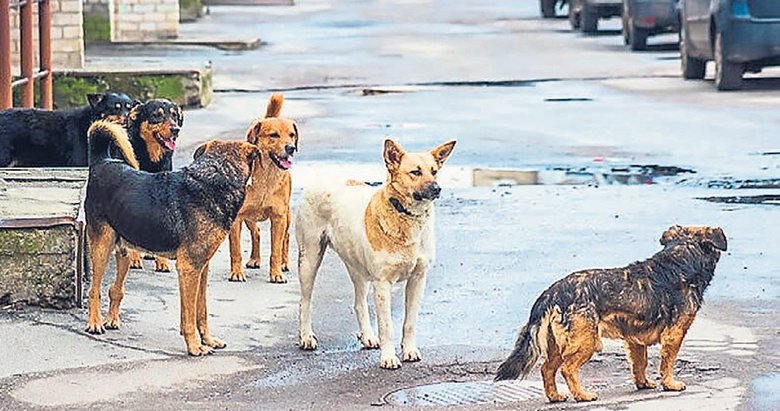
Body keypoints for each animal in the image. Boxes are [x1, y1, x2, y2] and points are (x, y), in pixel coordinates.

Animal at [84, 120, 258, 358]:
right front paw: (194, 346)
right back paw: (94, 323)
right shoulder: (189, 268)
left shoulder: (202, 268)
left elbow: (201, 310)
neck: (215, 178)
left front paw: (208, 340)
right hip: (101, 246)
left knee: (115, 289)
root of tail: (102, 161)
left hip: (124, 251)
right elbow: (189, 316)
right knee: (94, 290)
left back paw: (112, 320)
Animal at [229, 95, 298, 284]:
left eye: (292, 135)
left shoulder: (279, 217)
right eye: (273, 135)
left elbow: (275, 250)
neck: (266, 177)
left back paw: (284, 263)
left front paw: (276, 273)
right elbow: (236, 249)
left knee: (286, 238)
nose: (291, 148)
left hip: (287, 216)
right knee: (256, 233)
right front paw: (236, 272)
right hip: (249, 217)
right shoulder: (236, 218)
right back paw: (254, 259)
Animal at [298, 138, 458, 370]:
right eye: (415, 172)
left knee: (359, 303)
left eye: (434, 171)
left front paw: (409, 350)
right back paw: (306, 337)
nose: (437, 189)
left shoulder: (418, 279)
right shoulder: (382, 284)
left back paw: (367, 336)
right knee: (305, 301)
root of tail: (323, 178)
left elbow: (410, 322)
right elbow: (387, 326)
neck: (405, 215)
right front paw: (388, 358)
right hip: (309, 260)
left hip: (357, 267)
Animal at [496, 225, 728, 402]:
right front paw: (670, 384)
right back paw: (582, 395)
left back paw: (555, 396)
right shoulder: (674, 334)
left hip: (557, 345)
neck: (680, 259)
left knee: (547, 369)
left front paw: (643, 383)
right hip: (587, 341)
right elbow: (668, 362)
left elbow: (640, 363)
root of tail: (552, 293)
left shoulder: (635, 339)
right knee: (567, 369)